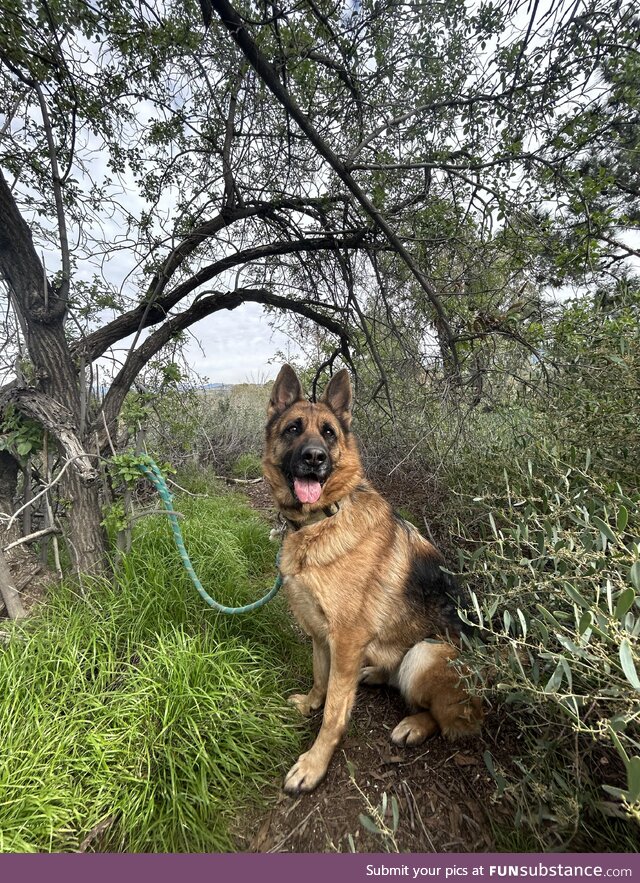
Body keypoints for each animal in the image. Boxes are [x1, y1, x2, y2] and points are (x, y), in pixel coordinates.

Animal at [262, 366, 480, 796]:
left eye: (328, 433)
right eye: (293, 429)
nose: (315, 458)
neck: (323, 518)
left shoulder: (346, 638)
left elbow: (334, 714)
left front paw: (314, 764)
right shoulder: (320, 634)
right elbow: (321, 679)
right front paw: (311, 702)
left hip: (424, 653)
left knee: (450, 721)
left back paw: (414, 725)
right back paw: (372, 675)